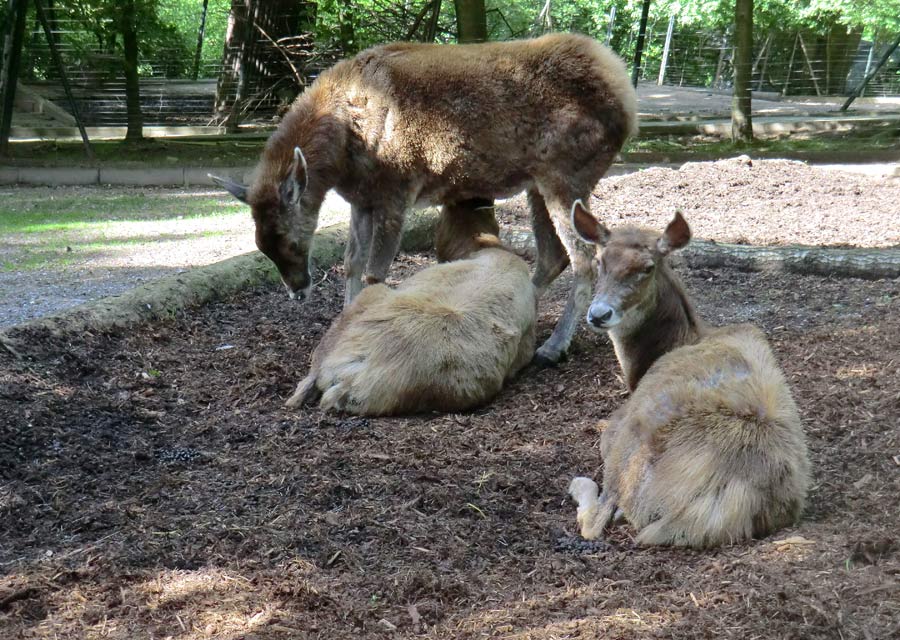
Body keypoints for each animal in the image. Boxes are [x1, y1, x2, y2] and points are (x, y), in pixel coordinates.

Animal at [211, 33, 636, 364]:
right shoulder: (361, 199)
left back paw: (553, 347)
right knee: (553, 255)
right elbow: (350, 264)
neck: (342, 154)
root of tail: (628, 102)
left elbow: (375, 272)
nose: (297, 290)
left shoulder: (397, 188)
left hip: (565, 174)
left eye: (292, 241)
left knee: (583, 258)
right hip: (538, 183)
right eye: (260, 245)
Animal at [568, 206, 812, 552]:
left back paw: (581, 486)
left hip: (630, 453)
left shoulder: (616, 428)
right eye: (600, 260)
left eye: (648, 267)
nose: (599, 314)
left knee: (596, 521)